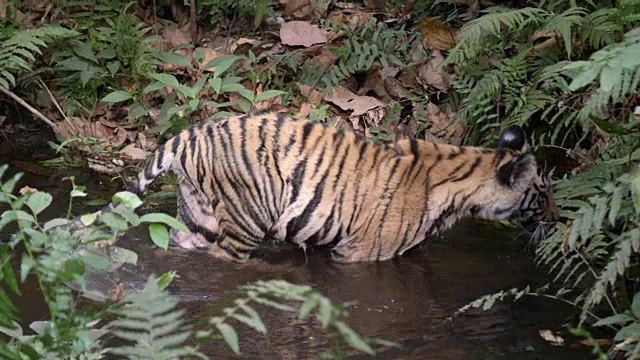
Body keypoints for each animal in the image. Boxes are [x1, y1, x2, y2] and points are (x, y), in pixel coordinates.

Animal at [121, 111, 560, 262]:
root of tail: (192, 133)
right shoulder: (361, 252)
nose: (557, 221)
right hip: (246, 218)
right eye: (543, 195)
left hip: (199, 218)